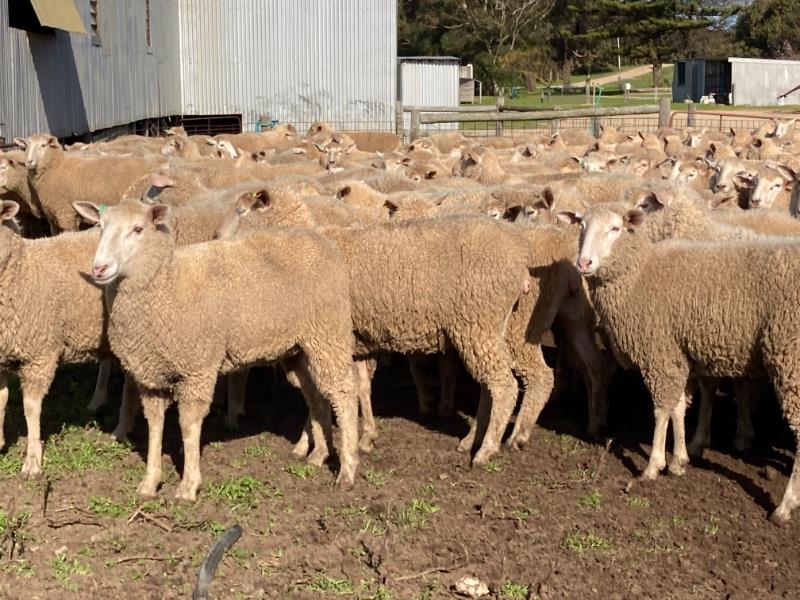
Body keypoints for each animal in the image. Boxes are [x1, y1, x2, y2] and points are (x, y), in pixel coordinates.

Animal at [78, 198, 360, 501]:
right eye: (100, 227)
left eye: (138, 229)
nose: (99, 269)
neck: (166, 281)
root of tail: (323, 240)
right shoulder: (150, 375)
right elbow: (154, 425)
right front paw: (149, 483)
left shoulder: (198, 368)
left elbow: (188, 426)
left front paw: (188, 486)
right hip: (299, 348)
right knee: (315, 394)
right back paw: (318, 454)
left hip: (328, 333)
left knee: (344, 394)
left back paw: (347, 470)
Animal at [560, 201, 800, 523]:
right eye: (581, 226)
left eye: (615, 228)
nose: (584, 263)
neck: (640, 276)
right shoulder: (675, 352)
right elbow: (678, 407)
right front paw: (679, 460)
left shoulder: (659, 352)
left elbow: (661, 410)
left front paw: (654, 465)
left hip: (790, 359)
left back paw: (785, 505)